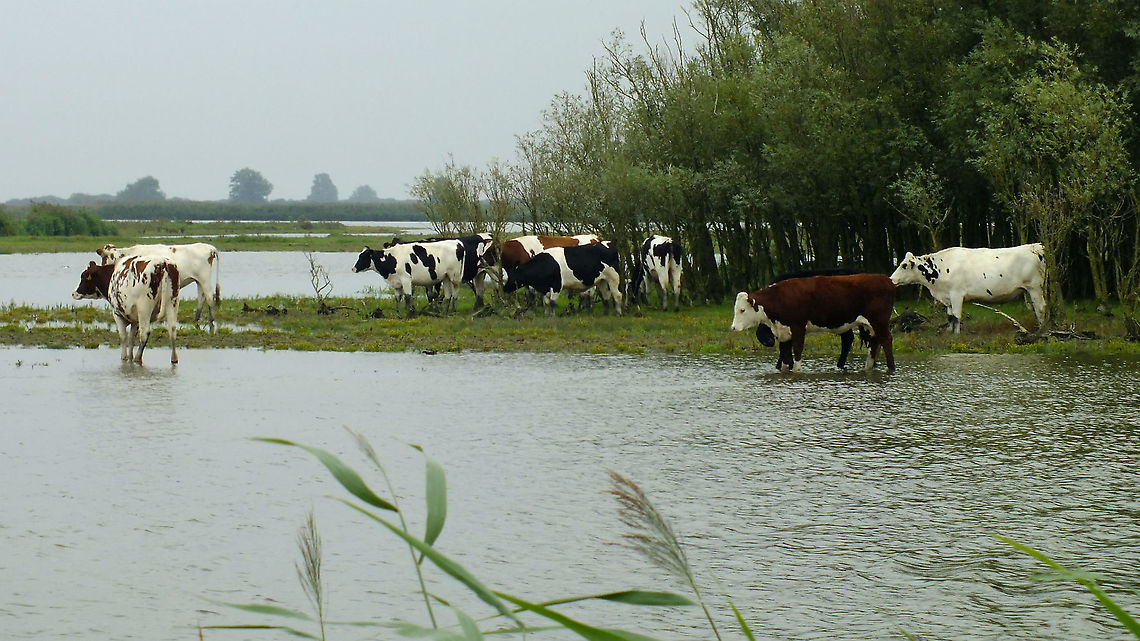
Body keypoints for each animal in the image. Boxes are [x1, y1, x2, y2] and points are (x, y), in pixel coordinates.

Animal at [731, 273, 896, 373]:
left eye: (742, 310)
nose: (733, 327)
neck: (779, 298)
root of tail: (886, 279)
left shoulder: (798, 327)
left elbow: (797, 351)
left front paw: (797, 371)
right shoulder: (783, 332)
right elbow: (785, 356)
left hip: (880, 321)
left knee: (887, 341)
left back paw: (891, 369)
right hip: (871, 326)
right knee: (874, 344)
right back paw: (868, 368)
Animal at [889, 243, 1046, 333]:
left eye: (904, 265)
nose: (891, 279)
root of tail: (1036, 246)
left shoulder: (957, 294)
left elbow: (957, 316)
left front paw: (957, 335)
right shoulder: (948, 297)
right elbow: (949, 316)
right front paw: (948, 333)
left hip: (1035, 287)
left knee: (1040, 308)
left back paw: (1041, 330)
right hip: (1029, 290)